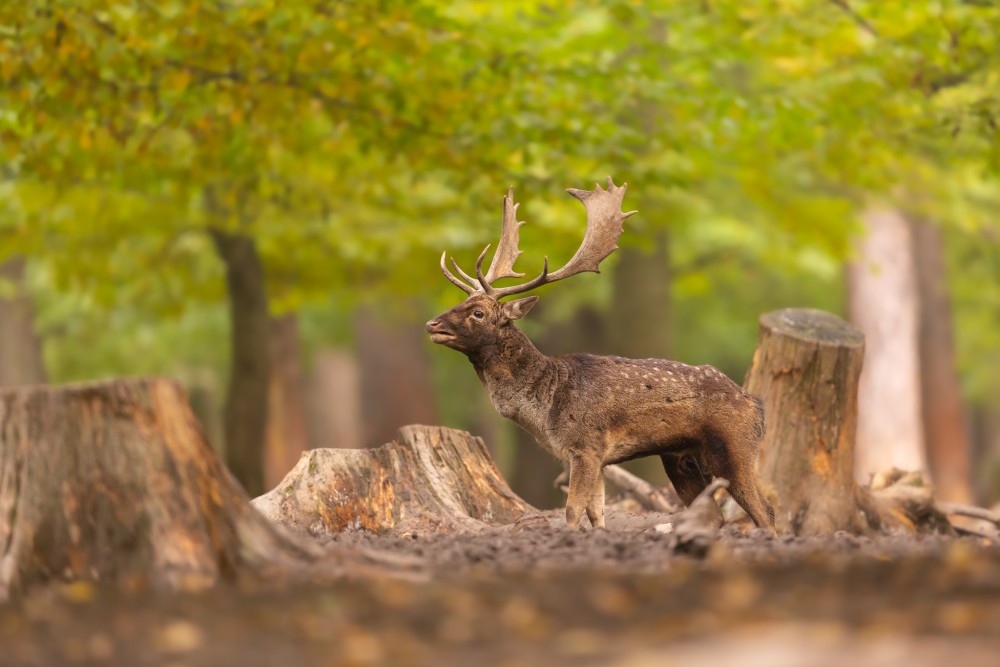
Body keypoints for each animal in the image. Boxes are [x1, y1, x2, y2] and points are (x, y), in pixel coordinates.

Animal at [426, 177, 776, 532]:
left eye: (478, 313)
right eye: (461, 303)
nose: (433, 324)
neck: (544, 408)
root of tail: (756, 404)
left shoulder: (586, 446)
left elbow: (573, 511)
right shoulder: (597, 458)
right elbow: (597, 514)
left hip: (735, 447)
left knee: (767, 513)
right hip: (681, 459)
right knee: (716, 514)